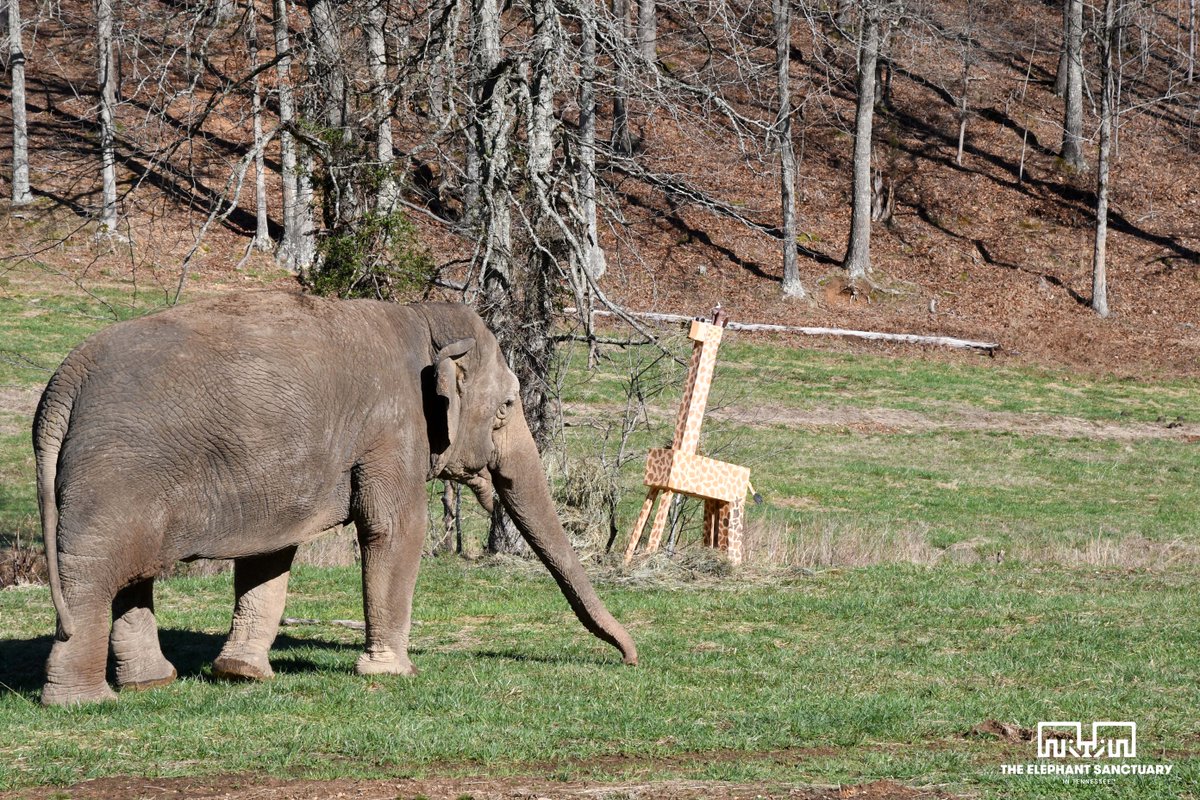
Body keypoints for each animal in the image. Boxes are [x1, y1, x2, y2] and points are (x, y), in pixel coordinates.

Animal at [33, 291, 637, 706]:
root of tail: (64, 384)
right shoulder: (393, 426)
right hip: (117, 475)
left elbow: (270, 554)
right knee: (94, 575)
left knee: (130, 577)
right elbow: (394, 529)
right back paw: (83, 702)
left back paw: (152, 685)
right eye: (508, 406)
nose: (632, 659)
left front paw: (241, 674)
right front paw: (393, 674)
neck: (421, 318)